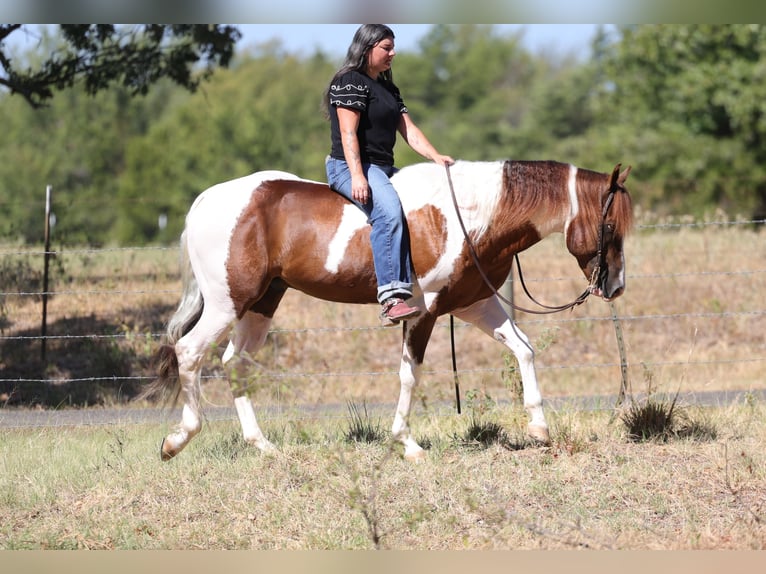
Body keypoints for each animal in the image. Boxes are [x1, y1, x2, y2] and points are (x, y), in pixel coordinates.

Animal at [144, 159, 634, 461]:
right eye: (610, 225)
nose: (616, 286)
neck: (468, 216)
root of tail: (206, 200)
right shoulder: (422, 312)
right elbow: (409, 375)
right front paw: (407, 443)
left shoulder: (474, 304)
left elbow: (524, 349)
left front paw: (539, 428)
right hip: (226, 303)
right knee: (190, 352)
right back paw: (176, 440)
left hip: (261, 303)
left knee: (235, 362)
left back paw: (260, 444)